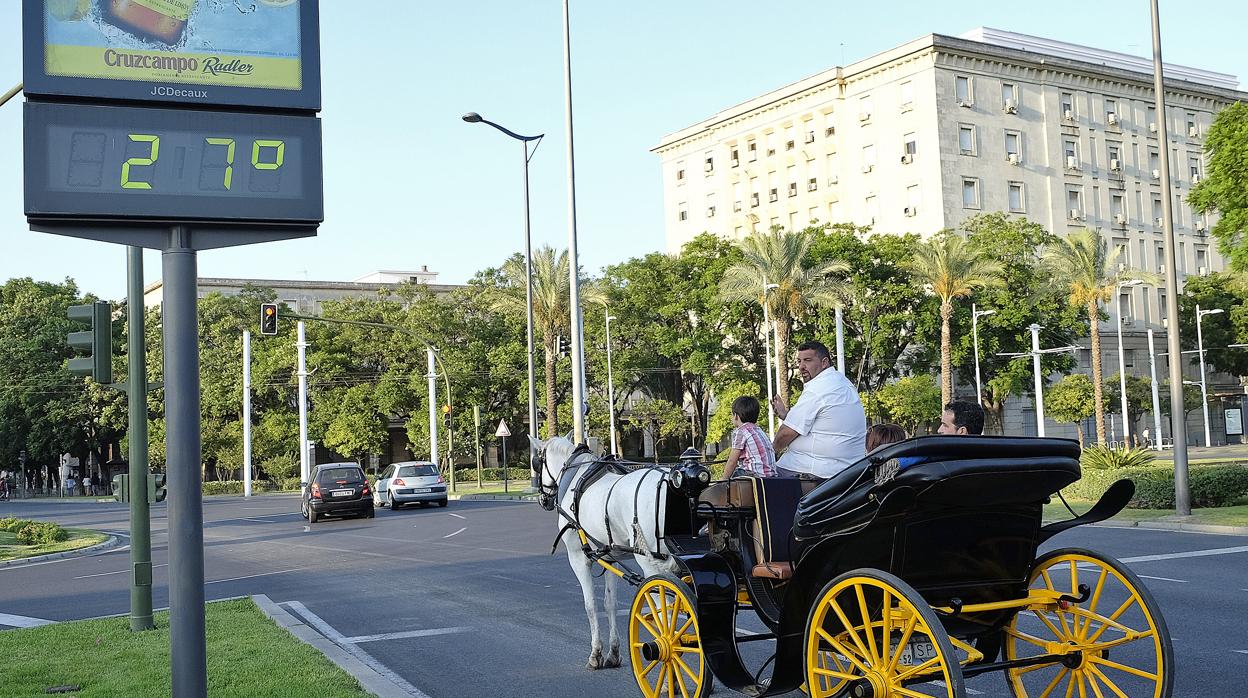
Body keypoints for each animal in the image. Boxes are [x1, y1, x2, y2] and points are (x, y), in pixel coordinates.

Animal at [529, 437, 683, 674]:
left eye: (537, 462)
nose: (543, 500)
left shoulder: (578, 558)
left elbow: (590, 604)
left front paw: (596, 654)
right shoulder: (611, 557)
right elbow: (610, 603)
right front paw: (613, 653)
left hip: (650, 563)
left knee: (664, 611)